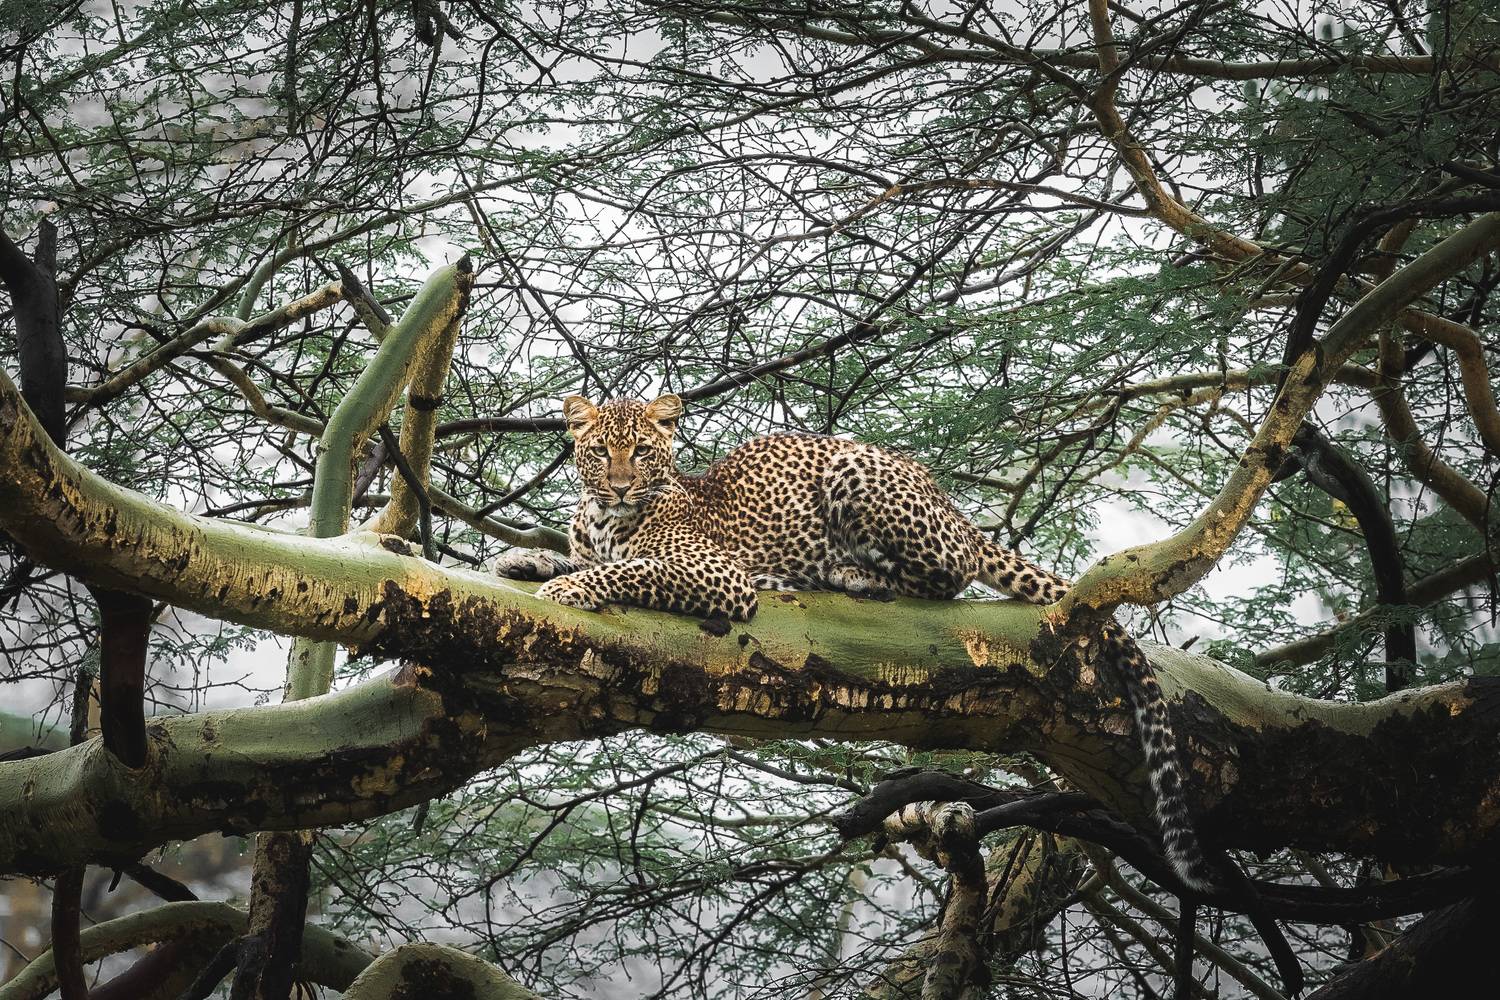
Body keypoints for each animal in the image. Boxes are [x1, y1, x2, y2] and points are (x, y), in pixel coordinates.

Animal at [494, 393, 1211, 891]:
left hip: (862, 477)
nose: (618, 484)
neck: (604, 517)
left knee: (948, 574)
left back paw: (849, 573)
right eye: (600, 451)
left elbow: (625, 570)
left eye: (642, 451)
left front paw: (568, 587)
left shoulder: (717, 576)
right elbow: (576, 558)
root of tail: (950, 503)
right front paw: (527, 560)